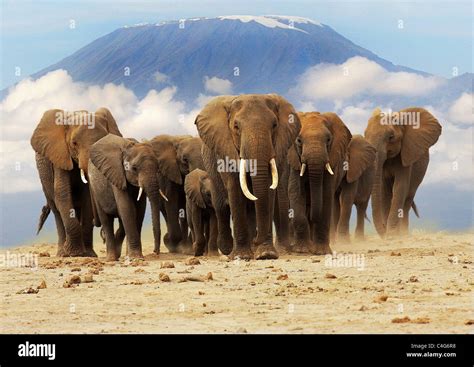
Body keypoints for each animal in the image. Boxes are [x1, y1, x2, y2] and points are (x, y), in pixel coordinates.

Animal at [30, 108, 121, 258]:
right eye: (74, 143)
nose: (102, 234)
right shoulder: (60, 154)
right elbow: (62, 193)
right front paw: (73, 253)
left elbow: (87, 199)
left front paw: (88, 254)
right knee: (56, 210)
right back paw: (62, 253)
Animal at [195, 95, 300, 262]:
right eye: (236, 126)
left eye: (274, 125)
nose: (257, 239)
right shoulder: (225, 149)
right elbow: (235, 188)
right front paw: (241, 256)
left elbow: (268, 189)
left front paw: (266, 254)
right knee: (220, 206)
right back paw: (227, 249)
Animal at [286, 112, 352, 256]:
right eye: (298, 141)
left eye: (328, 140)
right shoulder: (294, 160)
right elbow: (296, 192)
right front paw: (302, 250)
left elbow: (326, 194)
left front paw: (321, 252)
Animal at [366, 106, 440, 239]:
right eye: (365, 136)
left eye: (391, 137)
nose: (383, 229)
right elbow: (384, 192)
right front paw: (390, 235)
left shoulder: (407, 155)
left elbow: (400, 187)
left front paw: (392, 235)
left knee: (408, 198)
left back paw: (404, 234)